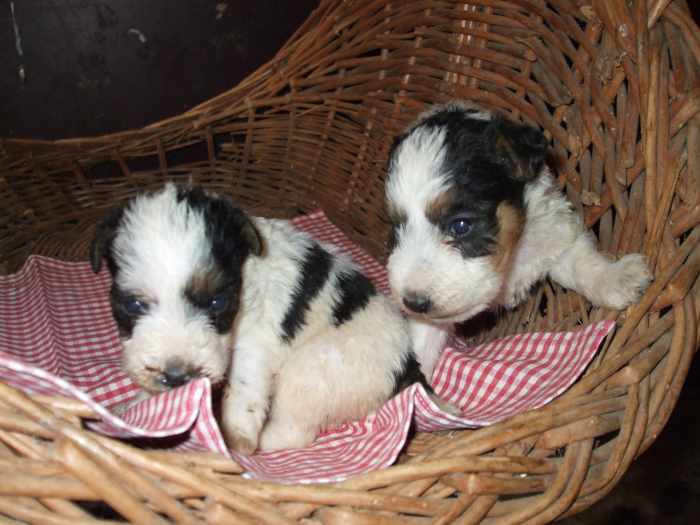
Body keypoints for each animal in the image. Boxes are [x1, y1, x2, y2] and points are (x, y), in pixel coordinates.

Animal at [90, 182, 434, 452]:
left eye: (217, 301)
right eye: (134, 304)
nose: (177, 377)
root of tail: (407, 363)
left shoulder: (253, 343)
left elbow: (245, 386)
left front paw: (236, 437)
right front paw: (137, 405)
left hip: (312, 370)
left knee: (297, 429)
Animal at [382, 102, 652, 378]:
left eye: (461, 225)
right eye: (396, 228)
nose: (413, 302)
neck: (510, 259)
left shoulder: (553, 233)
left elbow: (581, 263)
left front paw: (618, 277)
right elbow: (422, 341)